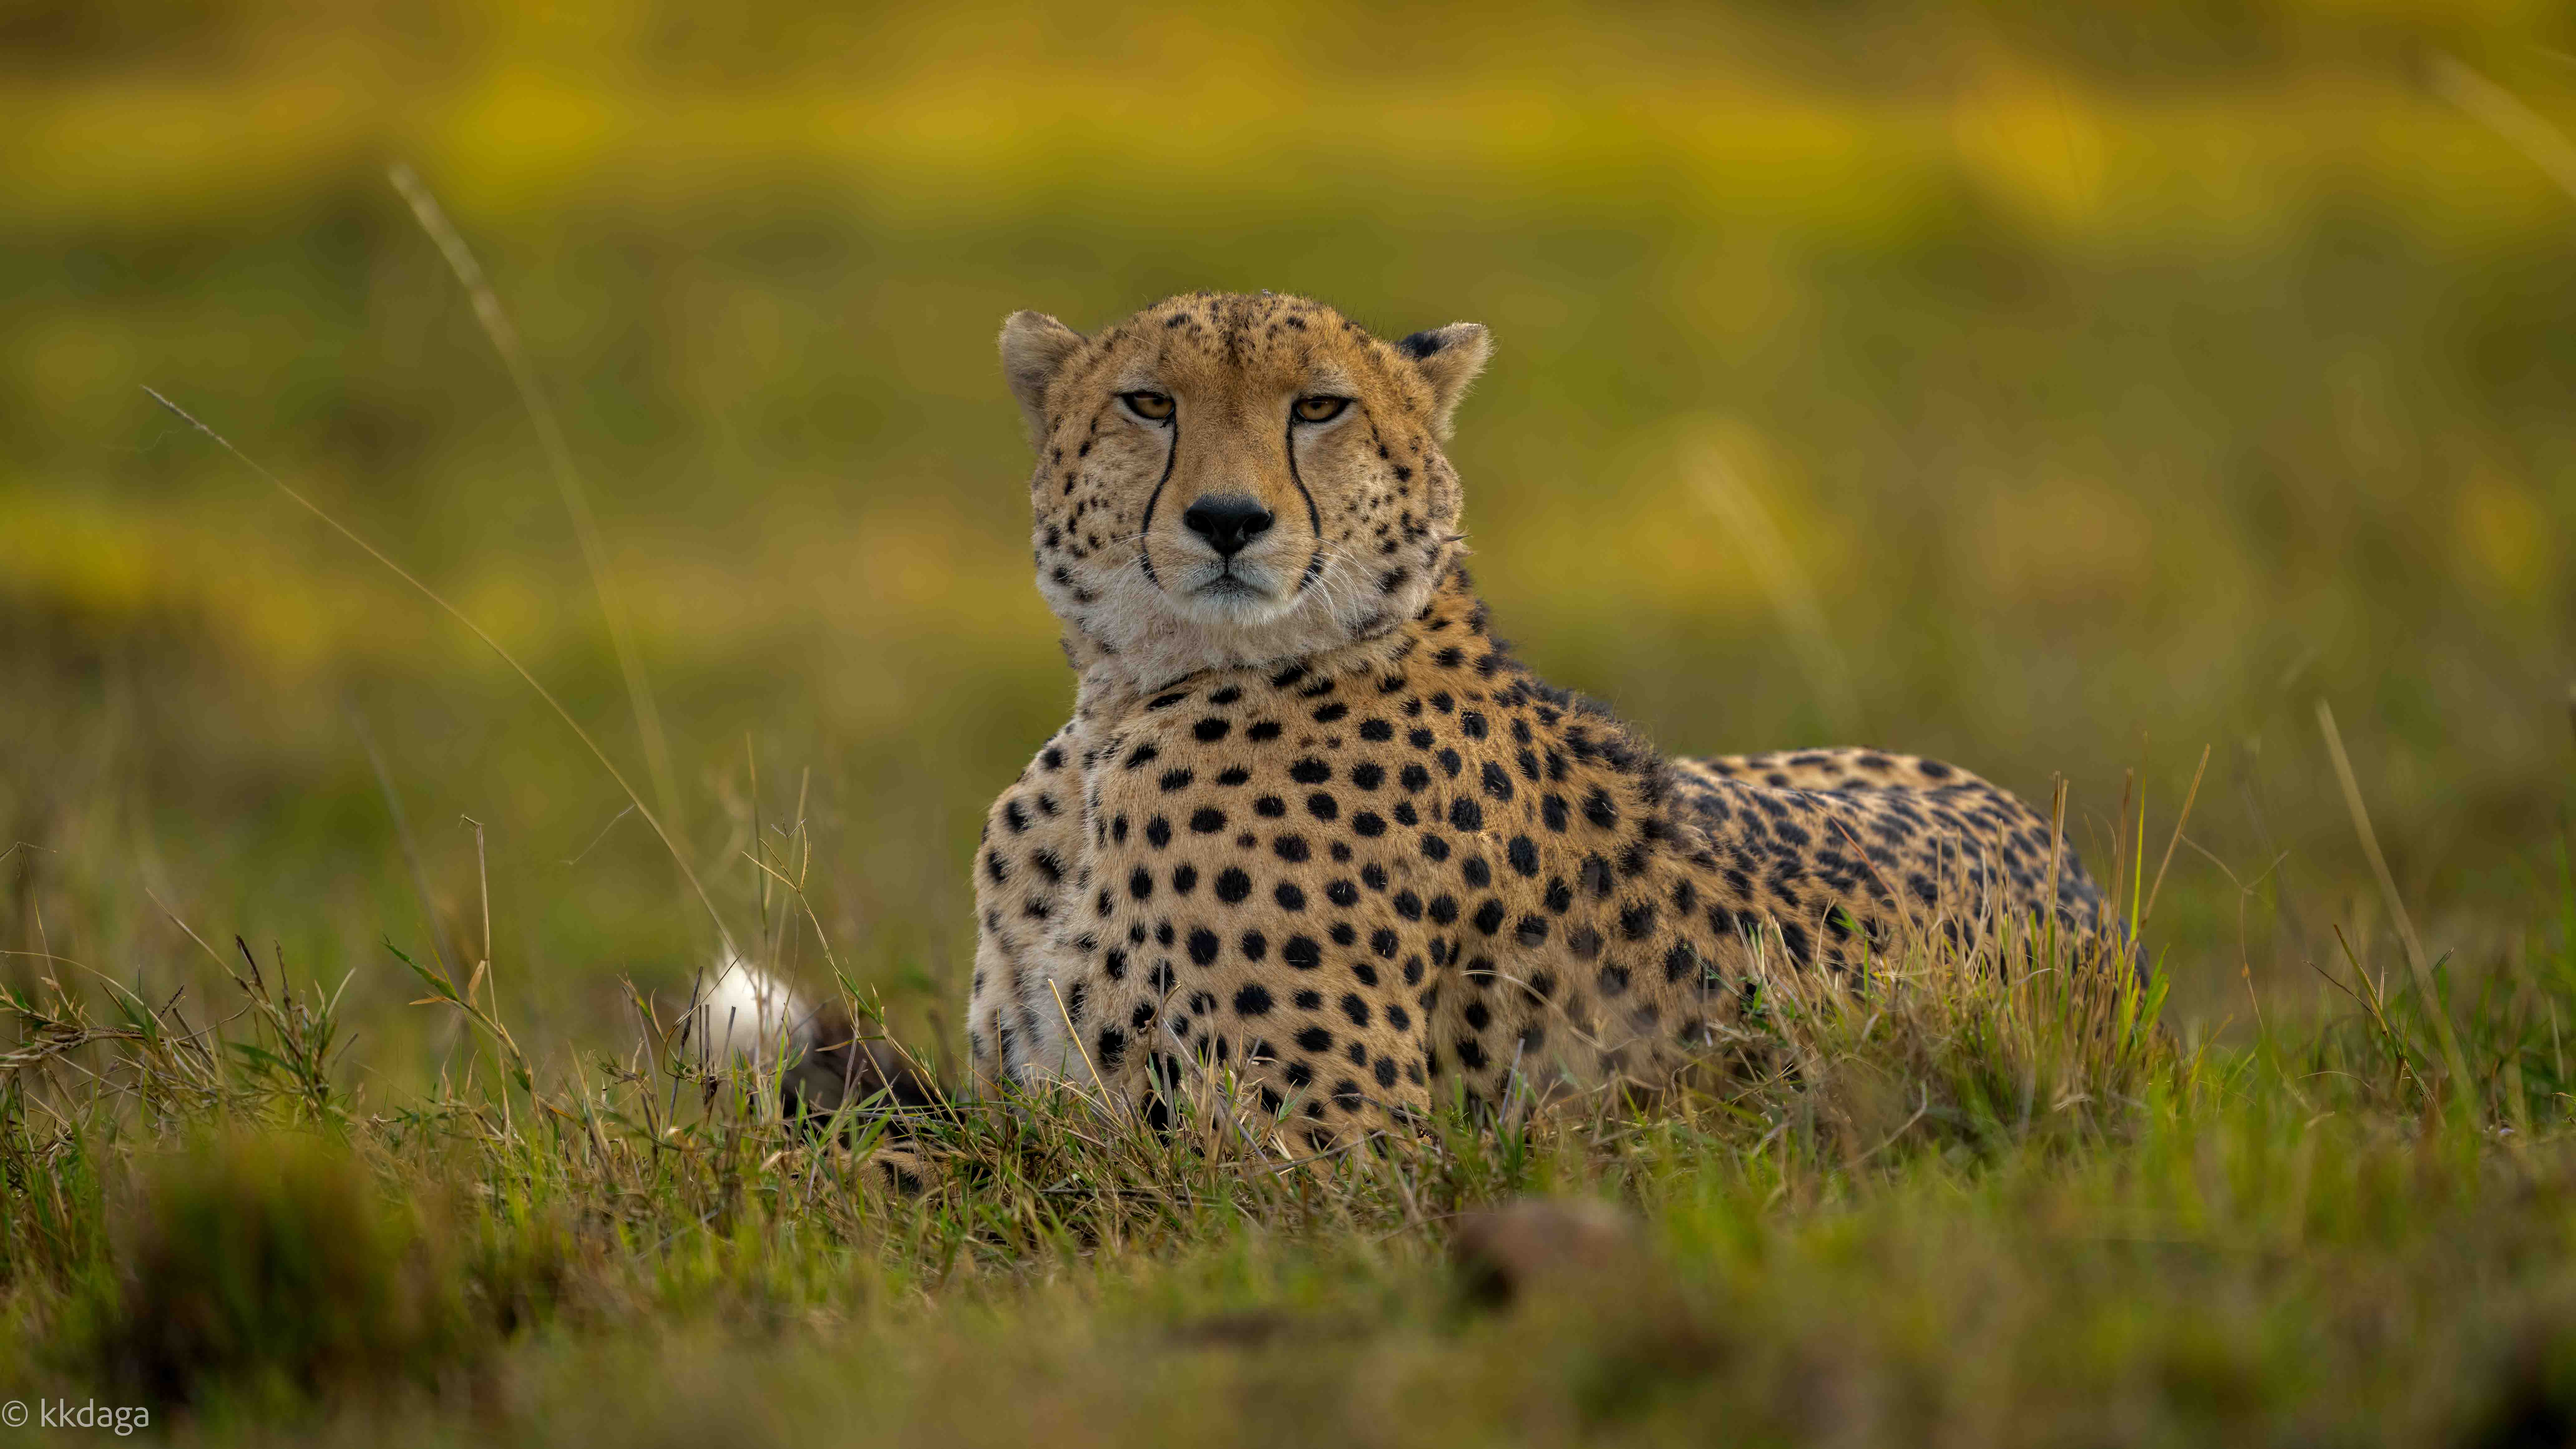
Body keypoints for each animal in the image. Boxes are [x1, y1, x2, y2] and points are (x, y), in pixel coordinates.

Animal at [938, 290, 2102, 1150]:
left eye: (1318, 409)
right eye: (1147, 404)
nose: (1228, 520)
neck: (1126, 708)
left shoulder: (1337, 1153)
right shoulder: (1027, 1097)